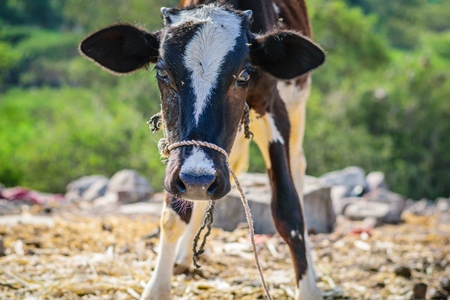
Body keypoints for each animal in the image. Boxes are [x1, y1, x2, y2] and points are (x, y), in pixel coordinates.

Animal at [80, 1, 324, 298]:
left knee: (297, 166)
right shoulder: (181, 164)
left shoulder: (275, 109)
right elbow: (173, 215)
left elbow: (289, 212)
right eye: (162, 73)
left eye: (244, 74)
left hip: (297, 105)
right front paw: (157, 287)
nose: (197, 179)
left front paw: (308, 288)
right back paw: (185, 256)